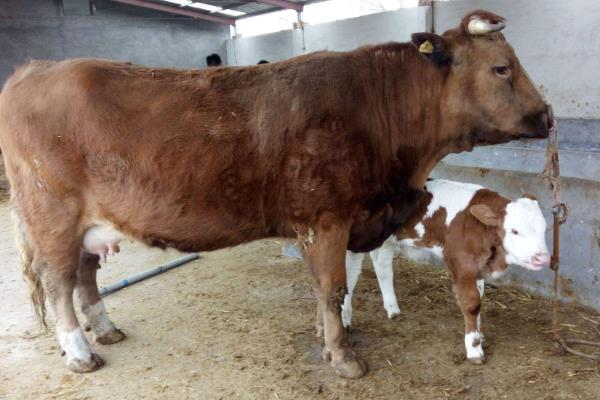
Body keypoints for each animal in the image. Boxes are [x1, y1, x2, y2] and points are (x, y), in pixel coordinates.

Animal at [340, 180, 552, 364]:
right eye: (514, 230)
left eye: (544, 228)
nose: (542, 258)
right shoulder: (462, 264)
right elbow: (472, 304)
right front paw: (474, 348)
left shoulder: (478, 268)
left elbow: (479, 299)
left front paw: (478, 332)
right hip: (357, 241)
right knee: (349, 276)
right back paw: (345, 320)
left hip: (386, 240)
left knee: (382, 265)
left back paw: (393, 309)